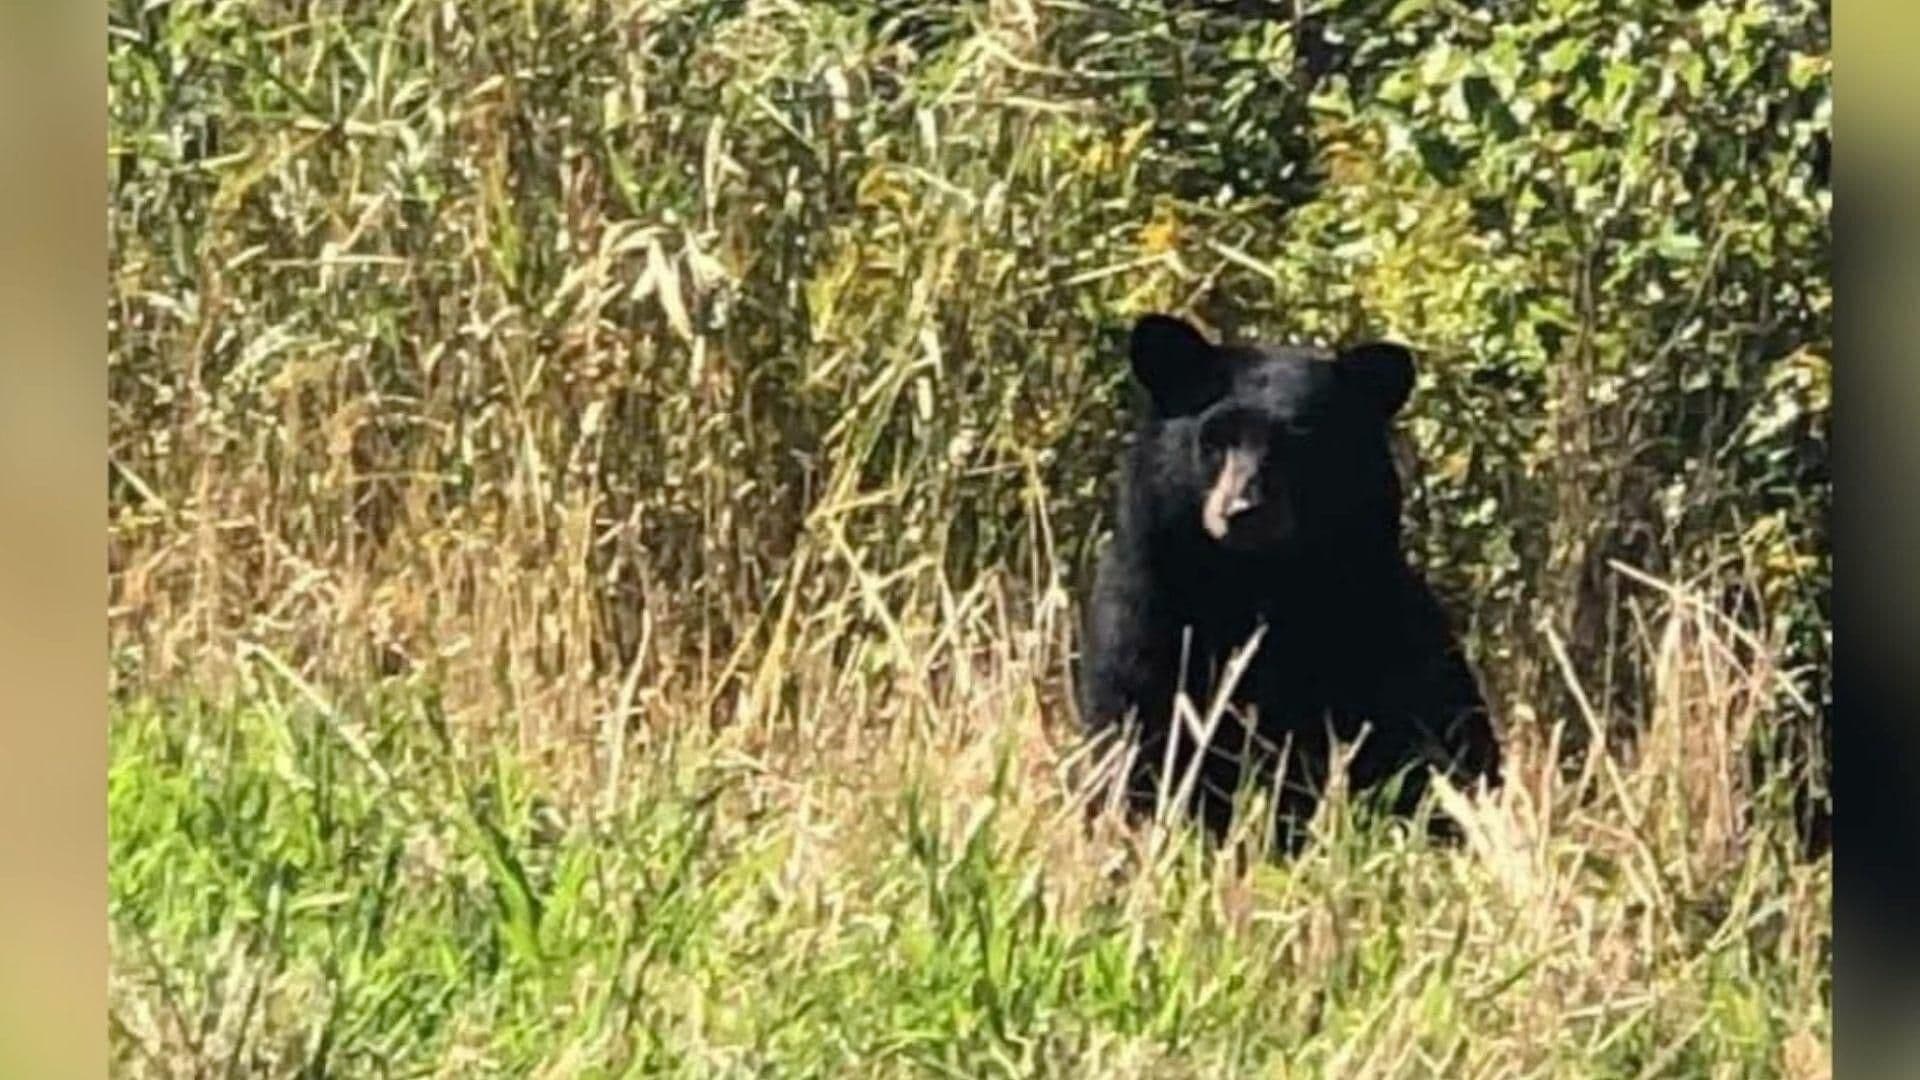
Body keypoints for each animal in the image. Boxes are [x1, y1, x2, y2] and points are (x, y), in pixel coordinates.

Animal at [1078, 313, 1502, 850]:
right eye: (1213, 440)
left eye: (1303, 438)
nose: (1243, 510)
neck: (1258, 582)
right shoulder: (1144, 617)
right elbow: (1134, 736)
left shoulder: (1381, 644)